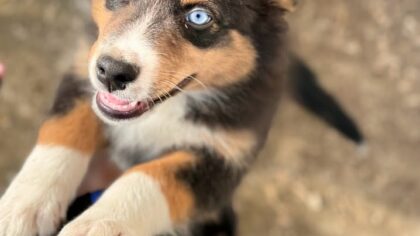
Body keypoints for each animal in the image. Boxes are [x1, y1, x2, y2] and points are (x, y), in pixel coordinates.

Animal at [0, 0, 296, 236]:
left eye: (199, 16)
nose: (112, 72)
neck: (166, 107)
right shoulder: (81, 70)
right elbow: (63, 130)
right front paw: (22, 206)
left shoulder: (225, 156)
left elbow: (150, 176)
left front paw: (99, 224)